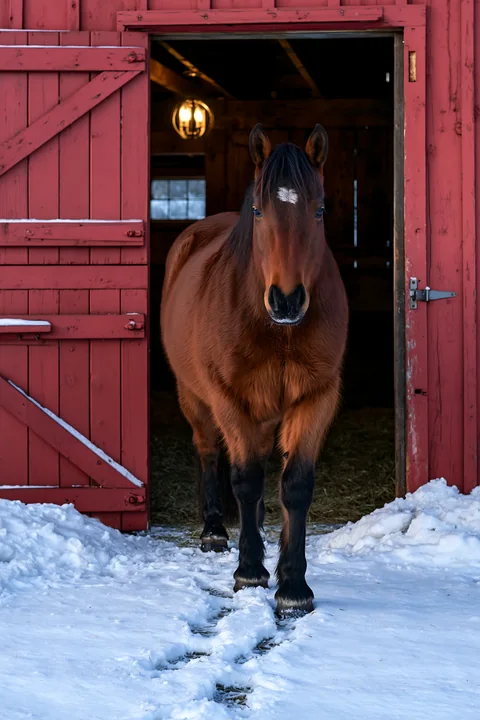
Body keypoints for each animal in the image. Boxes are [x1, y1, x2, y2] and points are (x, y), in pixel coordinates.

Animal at [161, 124, 348, 614]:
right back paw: (214, 531)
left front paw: (293, 585)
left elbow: (295, 485)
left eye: (319, 209)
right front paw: (249, 570)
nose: (286, 300)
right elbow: (244, 479)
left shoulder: (316, 397)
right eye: (260, 211)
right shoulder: (230, 399)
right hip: (195, 397)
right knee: (210, 451)